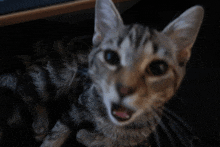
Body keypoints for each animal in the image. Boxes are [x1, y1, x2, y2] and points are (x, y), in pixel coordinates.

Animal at [40, 0, 205, 146]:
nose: (124, 89)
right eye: (110, 57)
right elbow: (57, 132)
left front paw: (88, 136)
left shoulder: (138, 136)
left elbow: (111, 141)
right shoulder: (77, 105)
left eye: (158, 68)